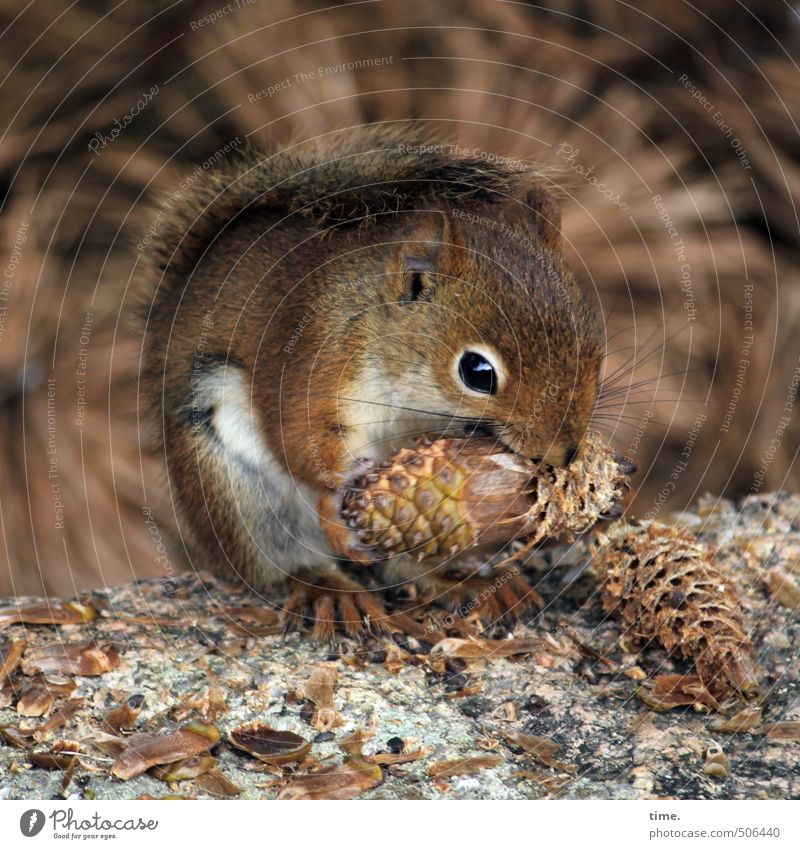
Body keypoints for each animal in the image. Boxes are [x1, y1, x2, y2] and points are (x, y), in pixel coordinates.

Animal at [139, 127, 600, 636]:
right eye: (477, 372)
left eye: (592, 342)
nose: (562, 454)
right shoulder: (310, 367)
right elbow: (299, 442)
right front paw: (332, 505)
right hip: (232, 488)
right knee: (279, 563)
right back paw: (331, 589)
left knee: (406, 564)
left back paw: (461, 583)